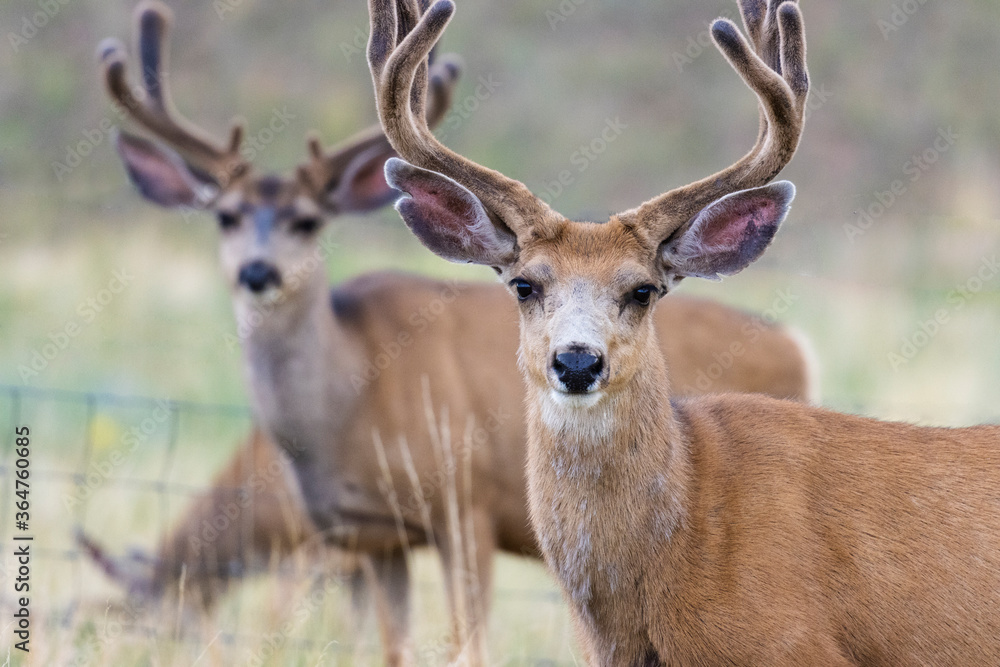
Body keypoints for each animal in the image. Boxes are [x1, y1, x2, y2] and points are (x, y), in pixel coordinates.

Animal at [92, 1, 812, 664]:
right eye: (523, 284)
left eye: (643, 290)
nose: (257, 271)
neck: (348, 398)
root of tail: (798, 345)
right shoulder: (371, 536)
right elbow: (391, 648)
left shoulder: (462, 504)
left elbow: (468, 644)